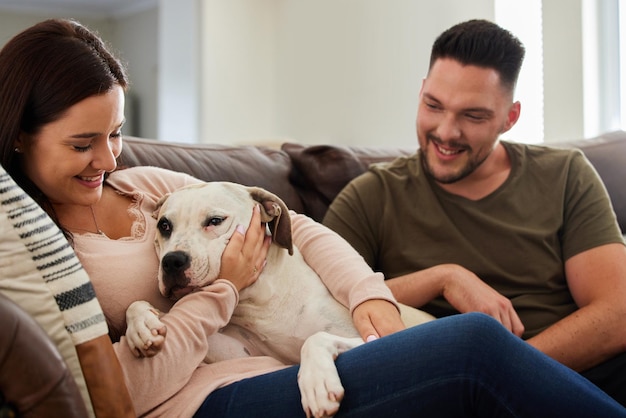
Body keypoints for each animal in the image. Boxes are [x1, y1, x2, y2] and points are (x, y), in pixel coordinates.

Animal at [124, 183, 432, 418]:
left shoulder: (374, 336)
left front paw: (317, 383)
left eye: (214, 221)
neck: (261, 302)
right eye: (164, 225)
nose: (172, 261)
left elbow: (315, 338)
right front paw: (141, 324)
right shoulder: (242, 353)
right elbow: (143, 309)